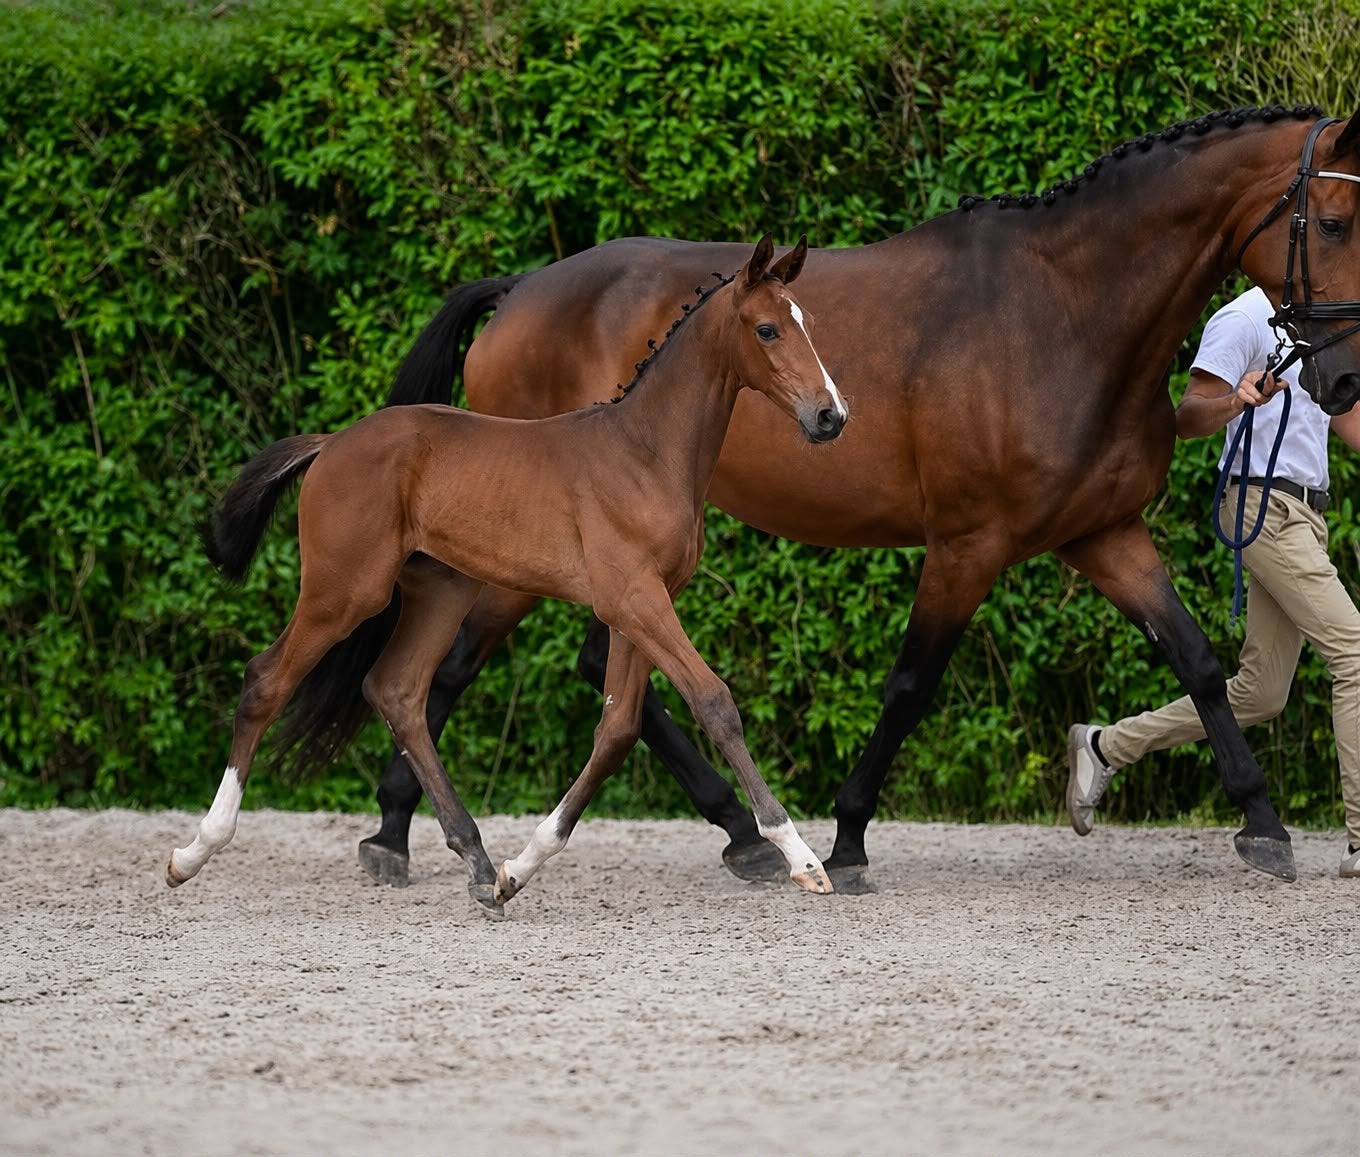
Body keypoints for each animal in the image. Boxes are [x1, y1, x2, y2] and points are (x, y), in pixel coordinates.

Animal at [168, 235, 848, 915]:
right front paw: (799, 856)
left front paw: (517, 870)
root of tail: (330, 443)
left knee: (397, 691)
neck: (646, 452)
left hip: (441, 593)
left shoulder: (639, 608)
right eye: (766, 329)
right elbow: (713, 701)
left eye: (810, 324)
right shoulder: (635, 601)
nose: (831, 417)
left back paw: (475, 859)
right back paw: (192, 853)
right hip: (344, 593)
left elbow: (618, 730)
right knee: (266, 681)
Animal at [365, 104, 1360, 891]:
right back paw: (397, 833)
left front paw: (1263, 825)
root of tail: (519, 291)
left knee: (587, 671)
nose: (1343, 379)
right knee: (451, 665)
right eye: (1336, 219)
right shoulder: (969, 543)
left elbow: (1197, 661)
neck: (1064, 313)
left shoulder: (1103, 533)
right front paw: (845, 840)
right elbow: (912, 683)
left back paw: (738, 835)